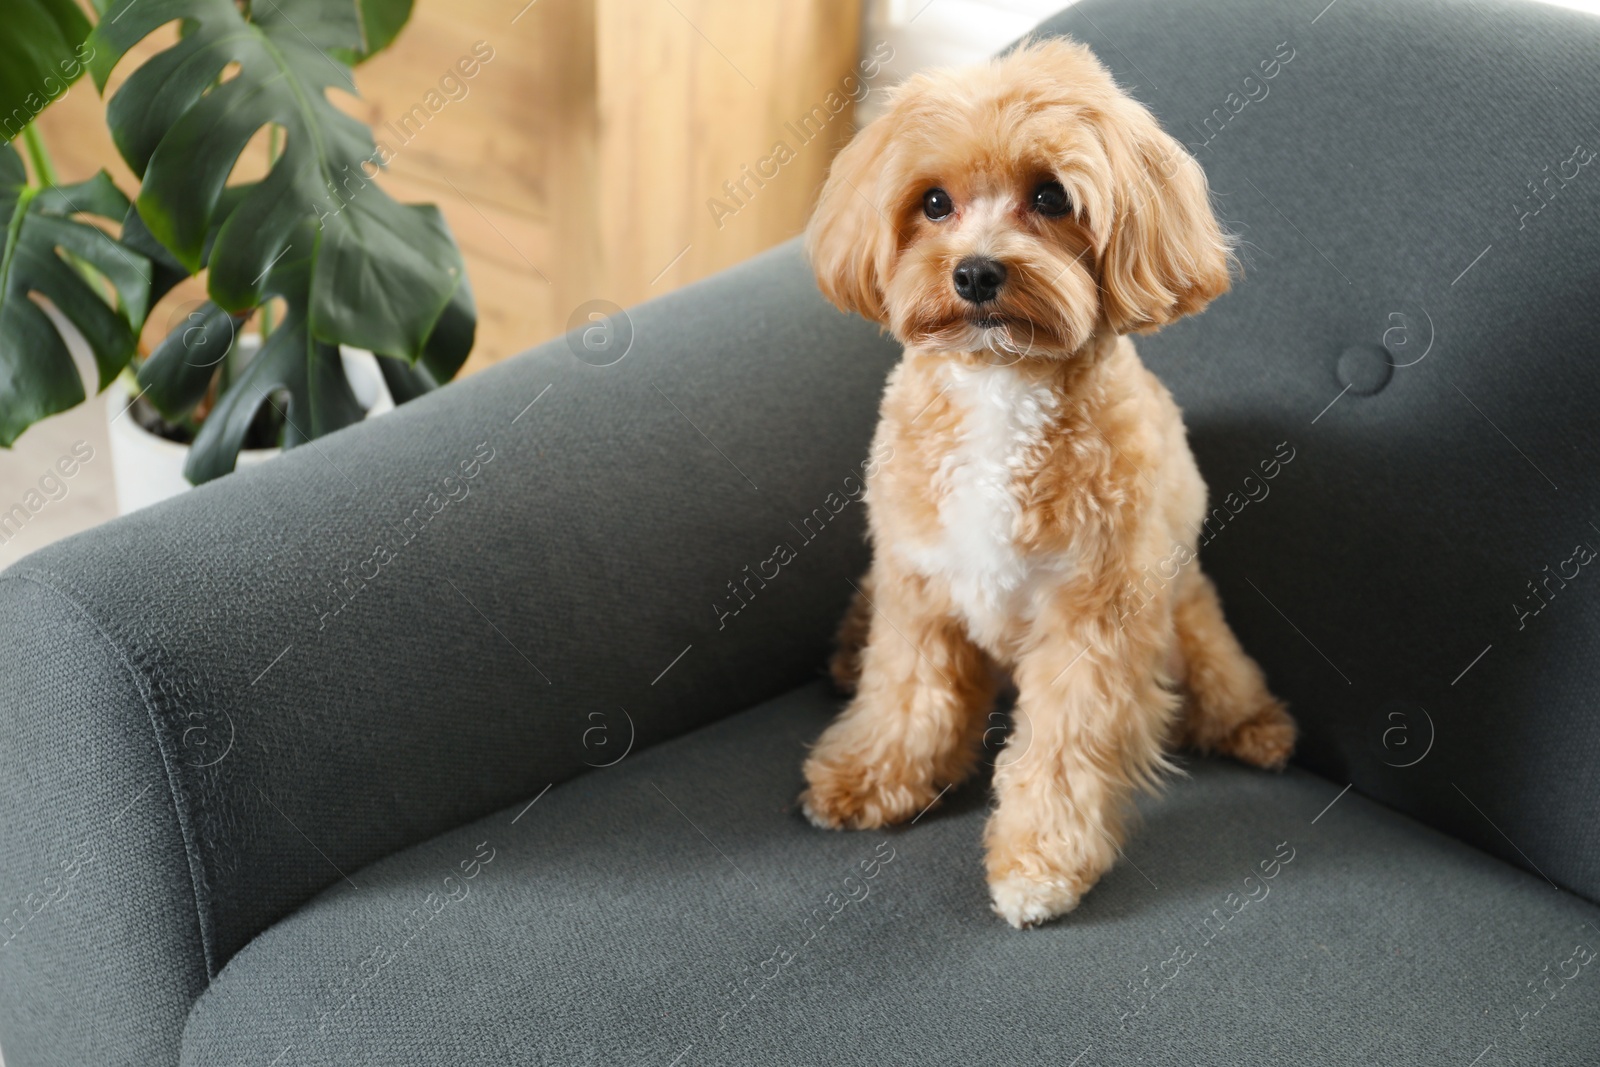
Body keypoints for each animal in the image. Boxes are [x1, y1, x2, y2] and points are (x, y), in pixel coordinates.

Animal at [793, 37, 1292, 927]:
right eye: (933, 201)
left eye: (1052, 196)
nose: (976, 274)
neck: (1002, 383)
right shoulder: (918, 587)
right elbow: (906, 695)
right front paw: (870, 777)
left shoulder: (1094, 617)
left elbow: (1065, 745)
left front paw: (1040, 865)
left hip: (1189, 617)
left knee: (1224, 682)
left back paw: (1257, 729)